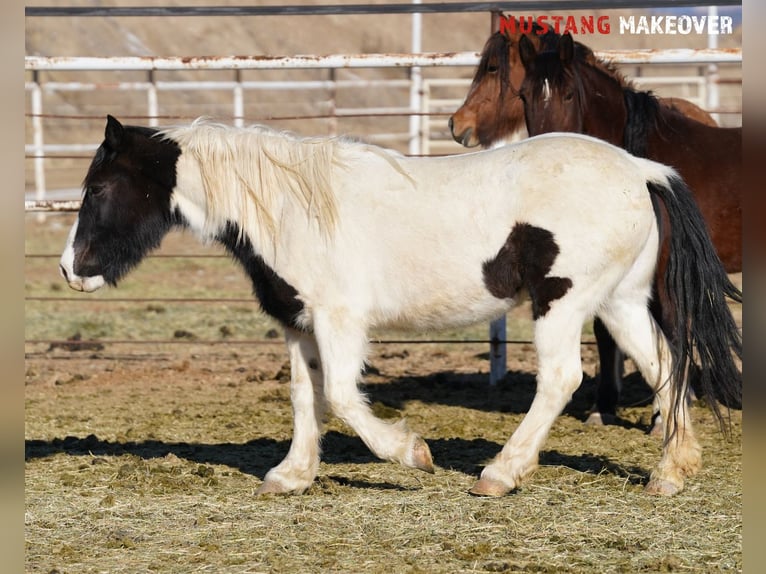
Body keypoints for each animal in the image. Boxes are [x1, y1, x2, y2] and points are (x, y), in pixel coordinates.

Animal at [60, 117, 744, 500]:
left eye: (99, 187)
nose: (70, 269)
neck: (289, 207)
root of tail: (641, 168)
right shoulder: (299, 325)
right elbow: (306, 397)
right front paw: (292, 475)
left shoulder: (338, 320)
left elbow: (341, 395)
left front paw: (410, 453)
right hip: (619, 303)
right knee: (666, 367)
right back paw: (671, 472)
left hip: (564, 301)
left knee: (561, 378)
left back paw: (501, 473)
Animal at [520, 31, 740, 428]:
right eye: (523, 94)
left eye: (568, 94)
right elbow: (610, 334)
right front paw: (604, 406)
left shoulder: (665, 274)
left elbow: (668, 334)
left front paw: (664, 415)